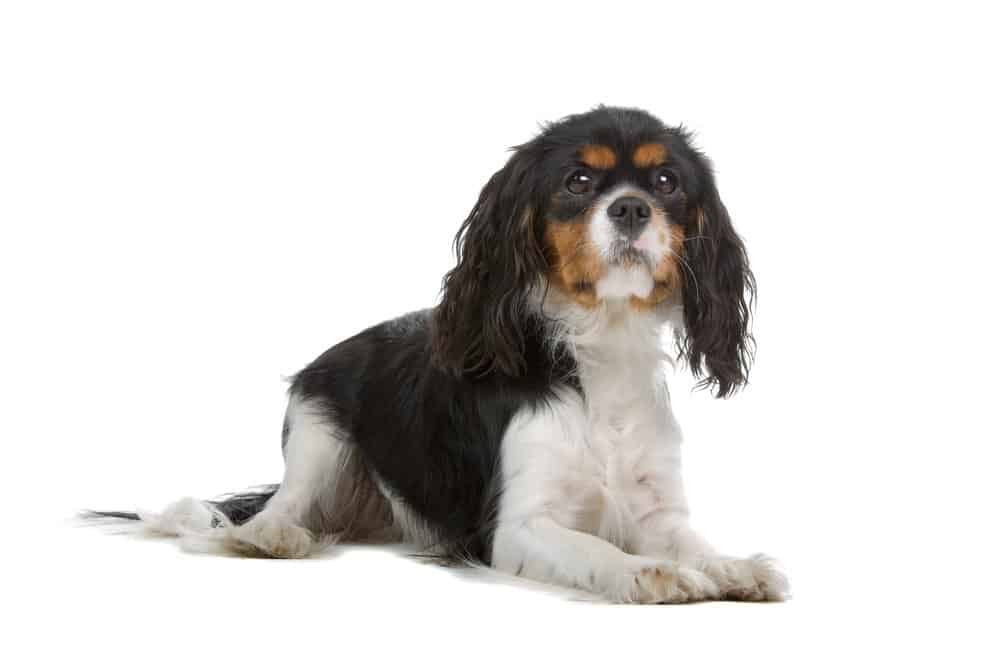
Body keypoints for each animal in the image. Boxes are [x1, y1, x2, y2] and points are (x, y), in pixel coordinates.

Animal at [86, 107, 788, 604]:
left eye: (666, 181)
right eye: (579, 180)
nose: (632, 207)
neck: (600, 345)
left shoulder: (656, 508)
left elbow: (691, 542)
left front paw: (733, 566)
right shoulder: (519, 528)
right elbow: (600, 551)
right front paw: (649, 573)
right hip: (317, 435)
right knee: (271, 513)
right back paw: (275, 537)